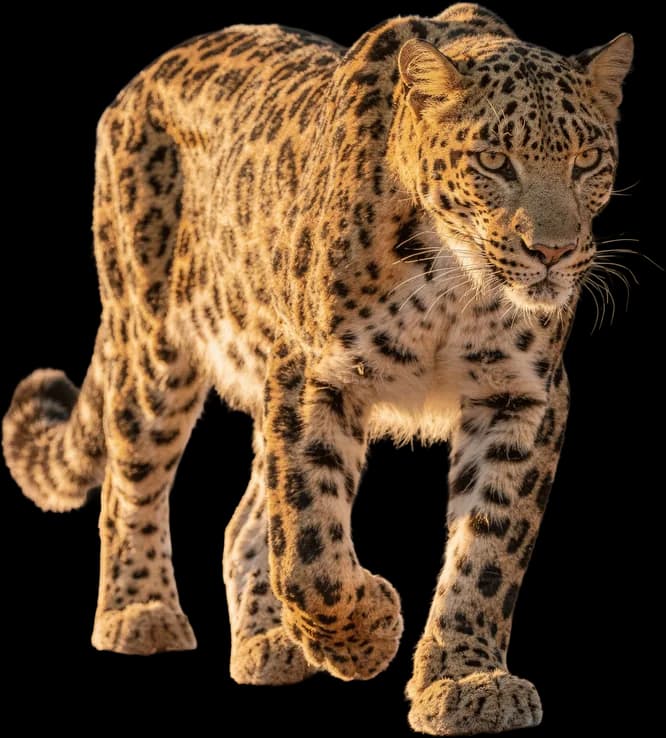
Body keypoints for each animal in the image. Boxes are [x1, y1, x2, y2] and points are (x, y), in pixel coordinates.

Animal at [2, 3, 632, 735]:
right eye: (494, 162)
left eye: (587, 161)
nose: (553, 253)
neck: (457, 284)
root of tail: (142, 79)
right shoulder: (312, 374)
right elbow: (307, 544)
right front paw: (366, 633)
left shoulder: (522, 395)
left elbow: (488, 549)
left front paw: (466, 680)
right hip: (151, 342)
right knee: (133, 483)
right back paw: (142, 612)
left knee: (242, 523)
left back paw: (271, 643)